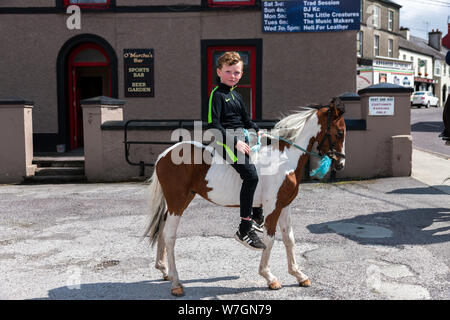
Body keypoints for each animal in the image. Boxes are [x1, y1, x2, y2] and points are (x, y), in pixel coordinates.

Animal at [142, 97, 346, 296]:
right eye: (340, 132)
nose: (340, 163)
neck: (284, 158)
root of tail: (164, 155)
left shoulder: (284, 205)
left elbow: (289, 239)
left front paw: (299, 275)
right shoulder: (272, 207)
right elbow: (269, 240)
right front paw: (269, 277)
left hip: (180, 201)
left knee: (162, 227)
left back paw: (165, 271)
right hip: (177, 202)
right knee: (170, 235)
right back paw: (176, 283)